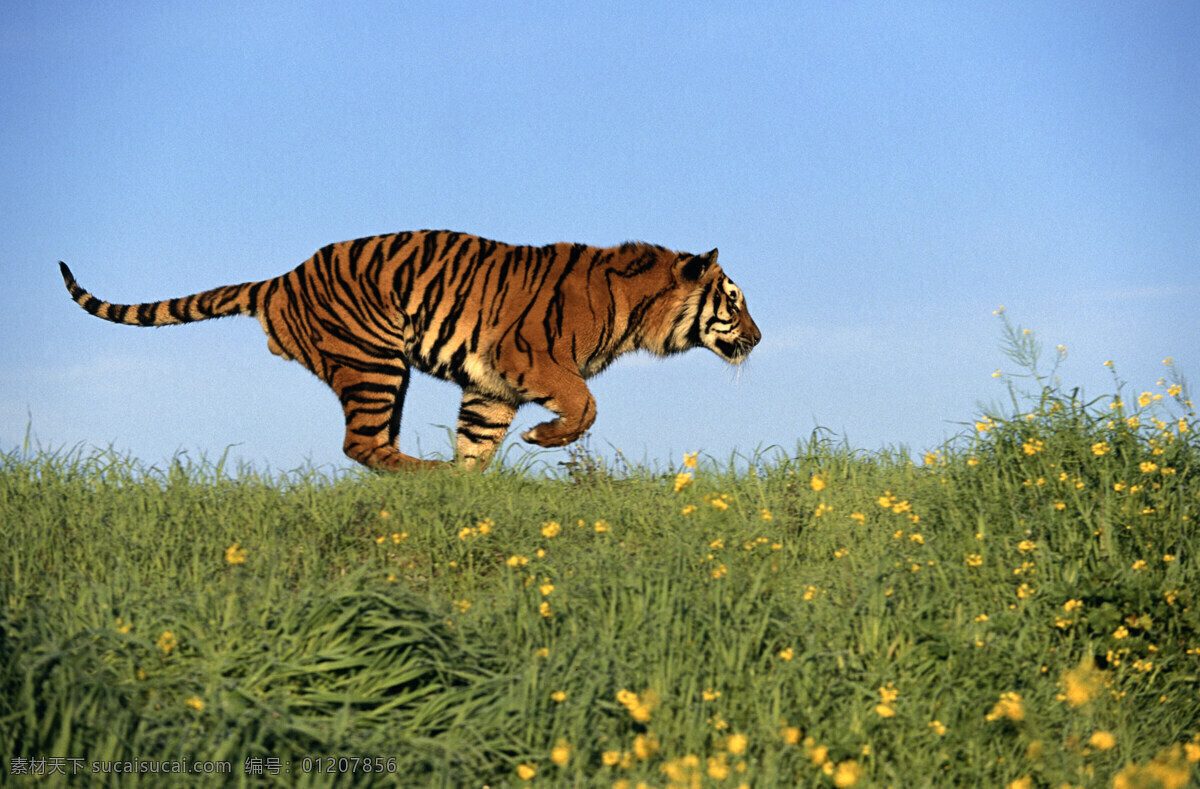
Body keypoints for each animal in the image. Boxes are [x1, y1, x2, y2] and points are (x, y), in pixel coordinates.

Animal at [60, 230, 758, 470]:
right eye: (735, 300)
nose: (758, 338)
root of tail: (280, 278)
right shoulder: (529, 359)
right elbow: (584, 405)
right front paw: (541, 441)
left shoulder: (490, 386)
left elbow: (478, 442)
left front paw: (473, 493)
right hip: (375, 363)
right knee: (363, 445)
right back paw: (428, 477)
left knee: (372, 446)